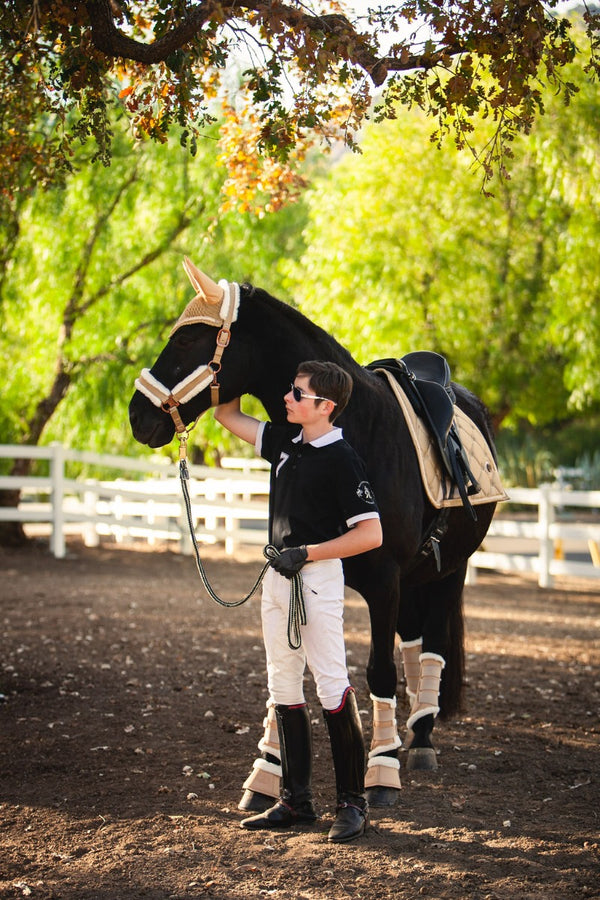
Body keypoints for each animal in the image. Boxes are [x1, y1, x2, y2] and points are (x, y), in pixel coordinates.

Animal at [129, 260, 500, 808]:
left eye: (188, 342)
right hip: (416, 579)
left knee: (431, 648)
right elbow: (290, 674)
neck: (358, 428)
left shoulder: (384, 583)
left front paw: (381, 770)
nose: (137, 416)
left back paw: (421, 740)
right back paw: (415, 727)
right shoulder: (299, 569)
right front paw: (266, 773)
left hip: (449, 572)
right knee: (414, 645)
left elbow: (378, 672)